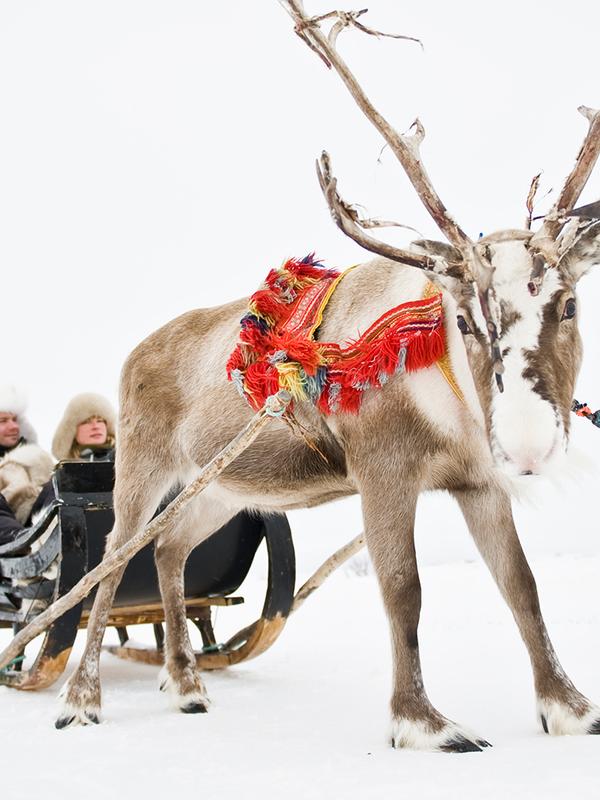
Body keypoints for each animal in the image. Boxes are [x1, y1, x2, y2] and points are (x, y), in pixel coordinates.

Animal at [53, 2, 600, 752]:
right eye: (463, 317)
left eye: (569, 303)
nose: (527, 444)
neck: (449, 399)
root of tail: (136, 351)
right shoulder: (382, 469)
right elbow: (402, 587)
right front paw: (424, 723)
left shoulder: (478, 480)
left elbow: (521, 585)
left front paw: (569, 708)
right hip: (144, 462)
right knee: (111, 563)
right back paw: (82, 699)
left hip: (223, 487)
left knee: (169, 549)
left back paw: (187, 683)